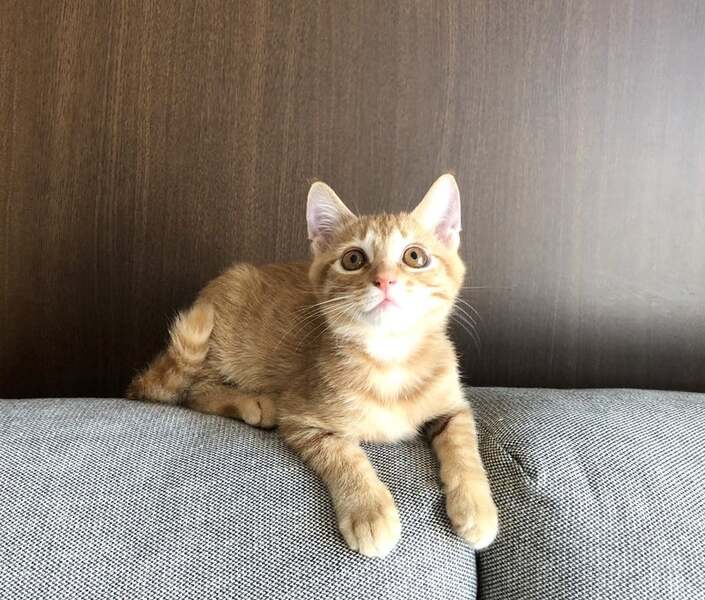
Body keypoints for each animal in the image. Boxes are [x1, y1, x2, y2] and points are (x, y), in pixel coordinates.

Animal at [127, 174, 498, 557]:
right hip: (219, 343)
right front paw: (369, 510)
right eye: (353, 259)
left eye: (414, 256)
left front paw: (476, 507)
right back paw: (252, 402)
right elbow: (345, 456)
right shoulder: (302, 418)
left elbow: (464, 447)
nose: (384, 280)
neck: (389, 357)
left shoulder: (453, 407)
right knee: (191, 392)